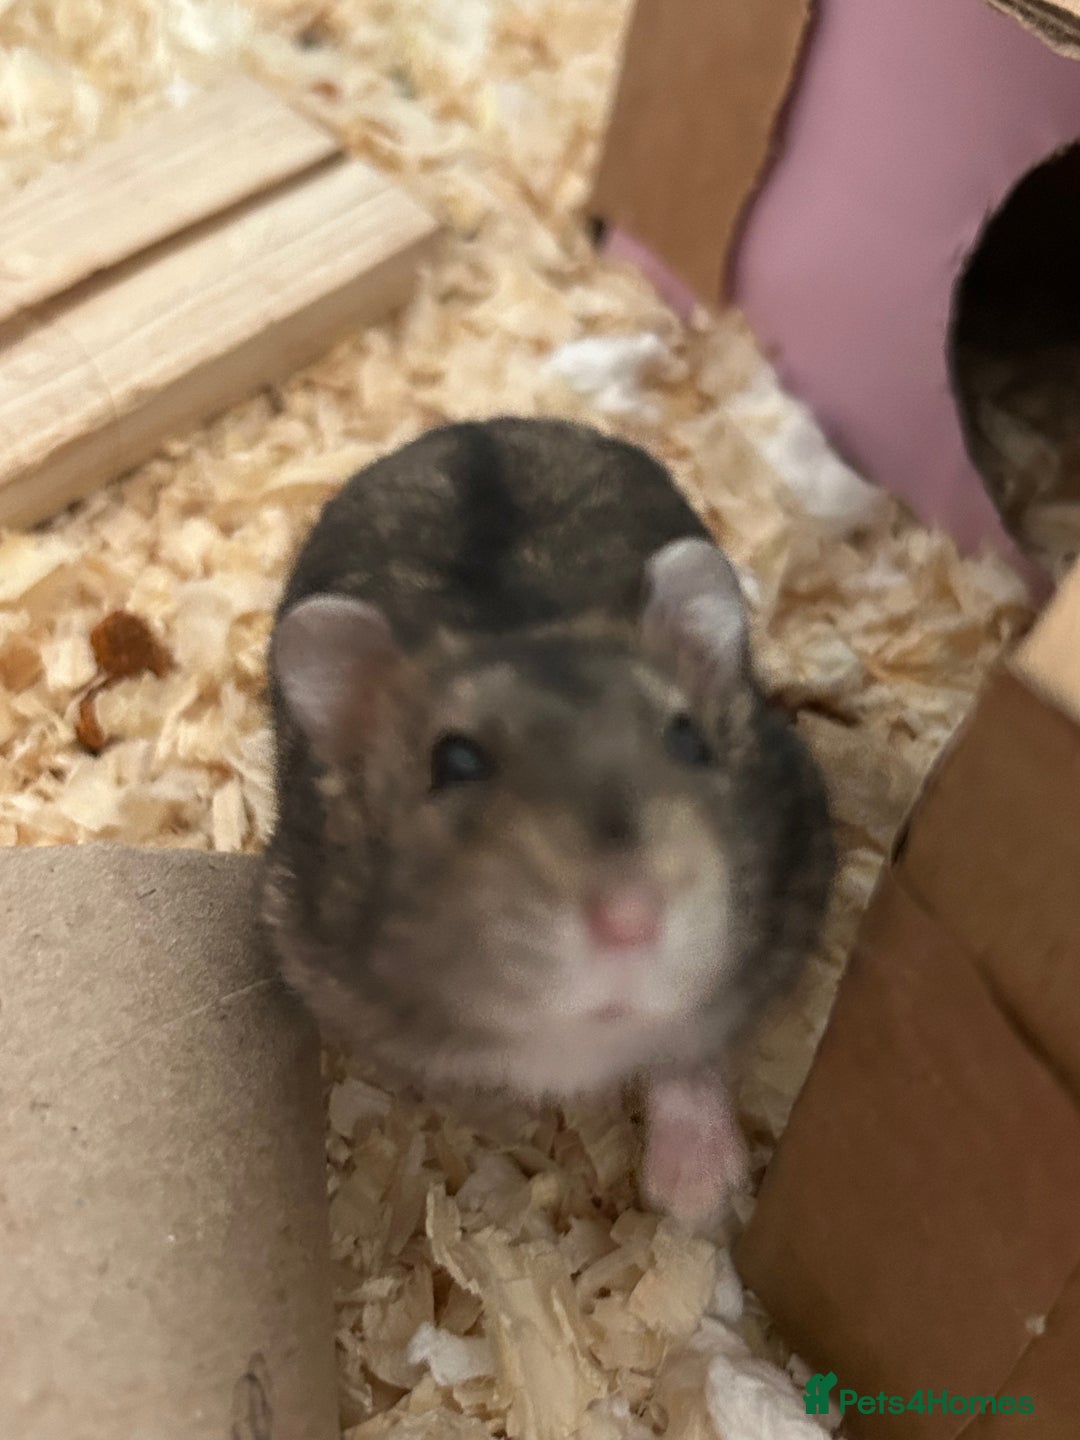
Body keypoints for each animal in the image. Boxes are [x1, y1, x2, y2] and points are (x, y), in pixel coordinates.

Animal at [260, 417, 835, 1226]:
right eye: (454, 761)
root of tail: (474, 422)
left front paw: (698, 1202)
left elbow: (686, 1049)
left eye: (690, 739)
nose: (631, 918)